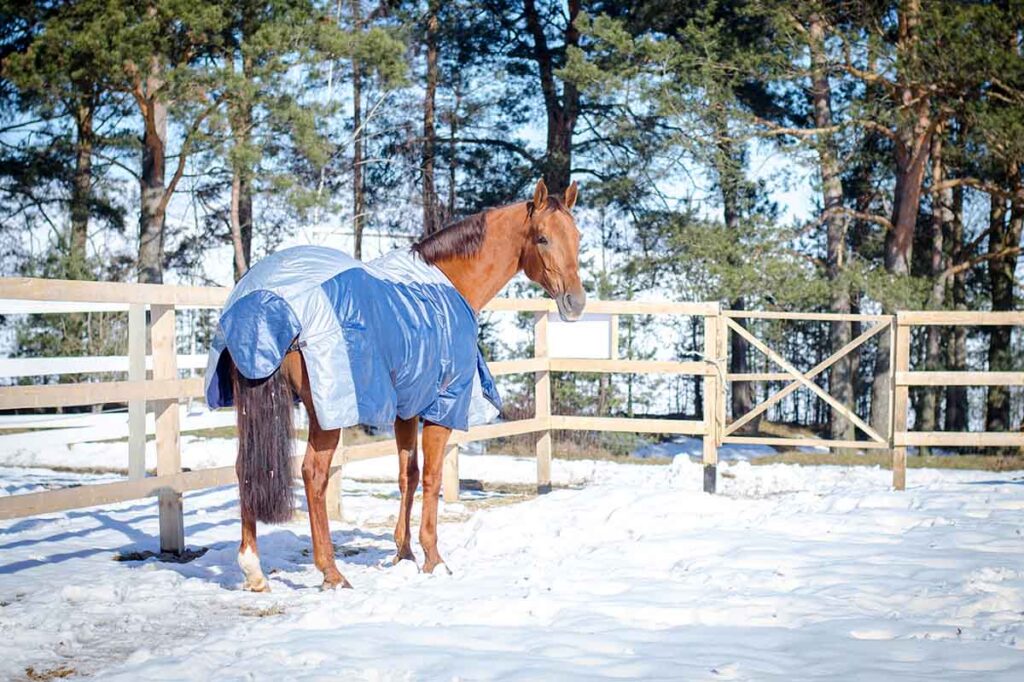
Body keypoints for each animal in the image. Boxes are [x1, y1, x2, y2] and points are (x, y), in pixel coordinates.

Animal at [203, 179, 585, 591]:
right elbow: (432, 477)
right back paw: (331, 572)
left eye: (578, 237)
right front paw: (433, 558)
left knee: (246, 469)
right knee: (313, 475)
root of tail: (262, 299)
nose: (576, 302)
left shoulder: (408, 405)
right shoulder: (440, 405)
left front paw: (404, 553)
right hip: (328, 413)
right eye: (543, 238)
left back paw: (253, 569)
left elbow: (408, 475)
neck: (448, 285)